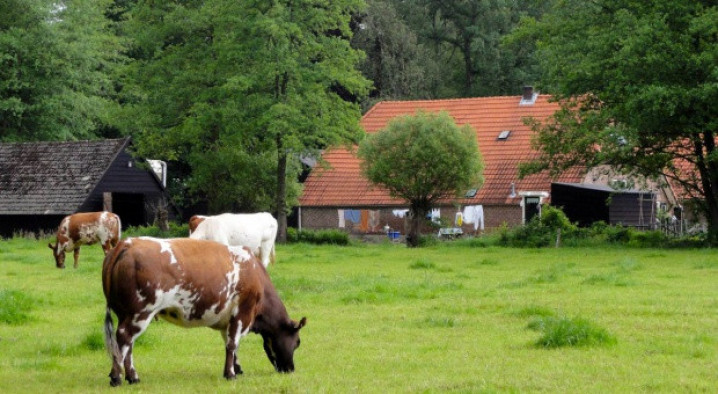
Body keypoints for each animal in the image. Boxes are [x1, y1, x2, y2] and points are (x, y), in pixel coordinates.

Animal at [101, 235, 304, 386]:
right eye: (297, 342)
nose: (290, 369)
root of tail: (126, 243)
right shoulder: (242, 313)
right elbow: (232, 344)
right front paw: (230, 374)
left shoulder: (228, 319)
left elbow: (231, 344)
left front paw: (237, 368)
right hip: (140, 312)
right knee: (124, 339)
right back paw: (118, 377)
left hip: (126, 314)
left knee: (127, 345)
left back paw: (131, 377)